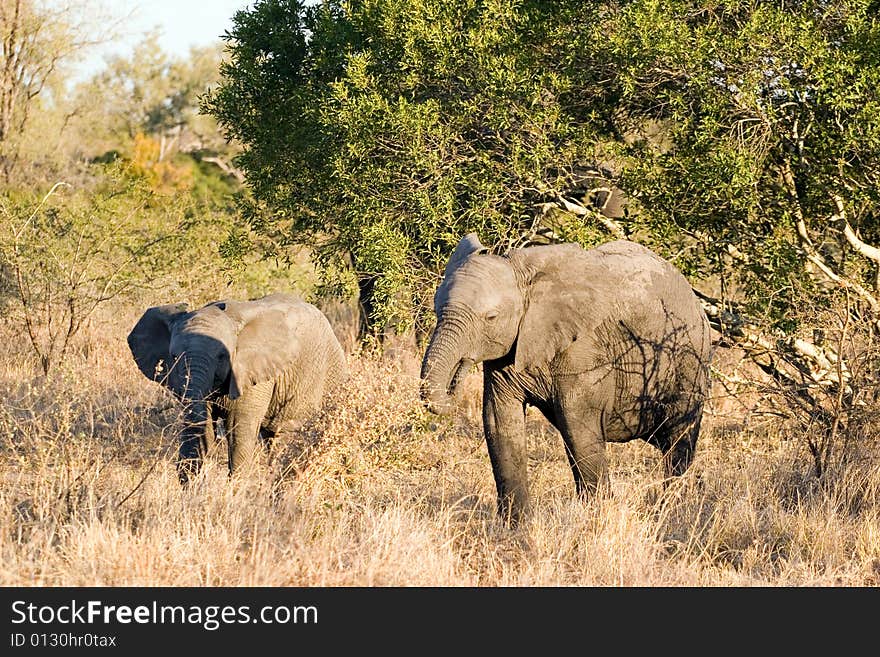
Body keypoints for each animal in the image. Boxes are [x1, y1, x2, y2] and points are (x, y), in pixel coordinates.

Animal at [127, 292, 348, 482]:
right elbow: (200, 424)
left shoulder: (253, 370)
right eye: (174, 357)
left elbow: (239, 427)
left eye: (222, 356)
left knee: (286, 434)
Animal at [420, 233, 716, 524]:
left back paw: (672, 512)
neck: (524, 276)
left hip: (690, 357)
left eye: (491, 317)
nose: (457, 373)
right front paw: (516, 528)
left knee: (678, 439)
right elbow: (499, 421)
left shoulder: (583, 349)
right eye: (436, 311)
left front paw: (597, 519)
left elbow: (577, 425)